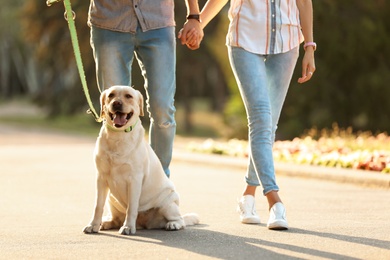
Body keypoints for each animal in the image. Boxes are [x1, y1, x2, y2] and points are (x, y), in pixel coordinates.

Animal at [82, 85, 198, 236]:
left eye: (128, 96)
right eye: (111, 95)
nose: (116, 103)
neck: (118, 136)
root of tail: (144, 224)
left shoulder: (134, 180)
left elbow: (132, 207)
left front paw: (128, 227)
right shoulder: (101, 178)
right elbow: (98, 206)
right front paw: (93, 225)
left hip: (167, 202)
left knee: (181, 220)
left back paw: (173, 224)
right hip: (111, 198)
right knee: (115, 218)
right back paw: (106, 222)